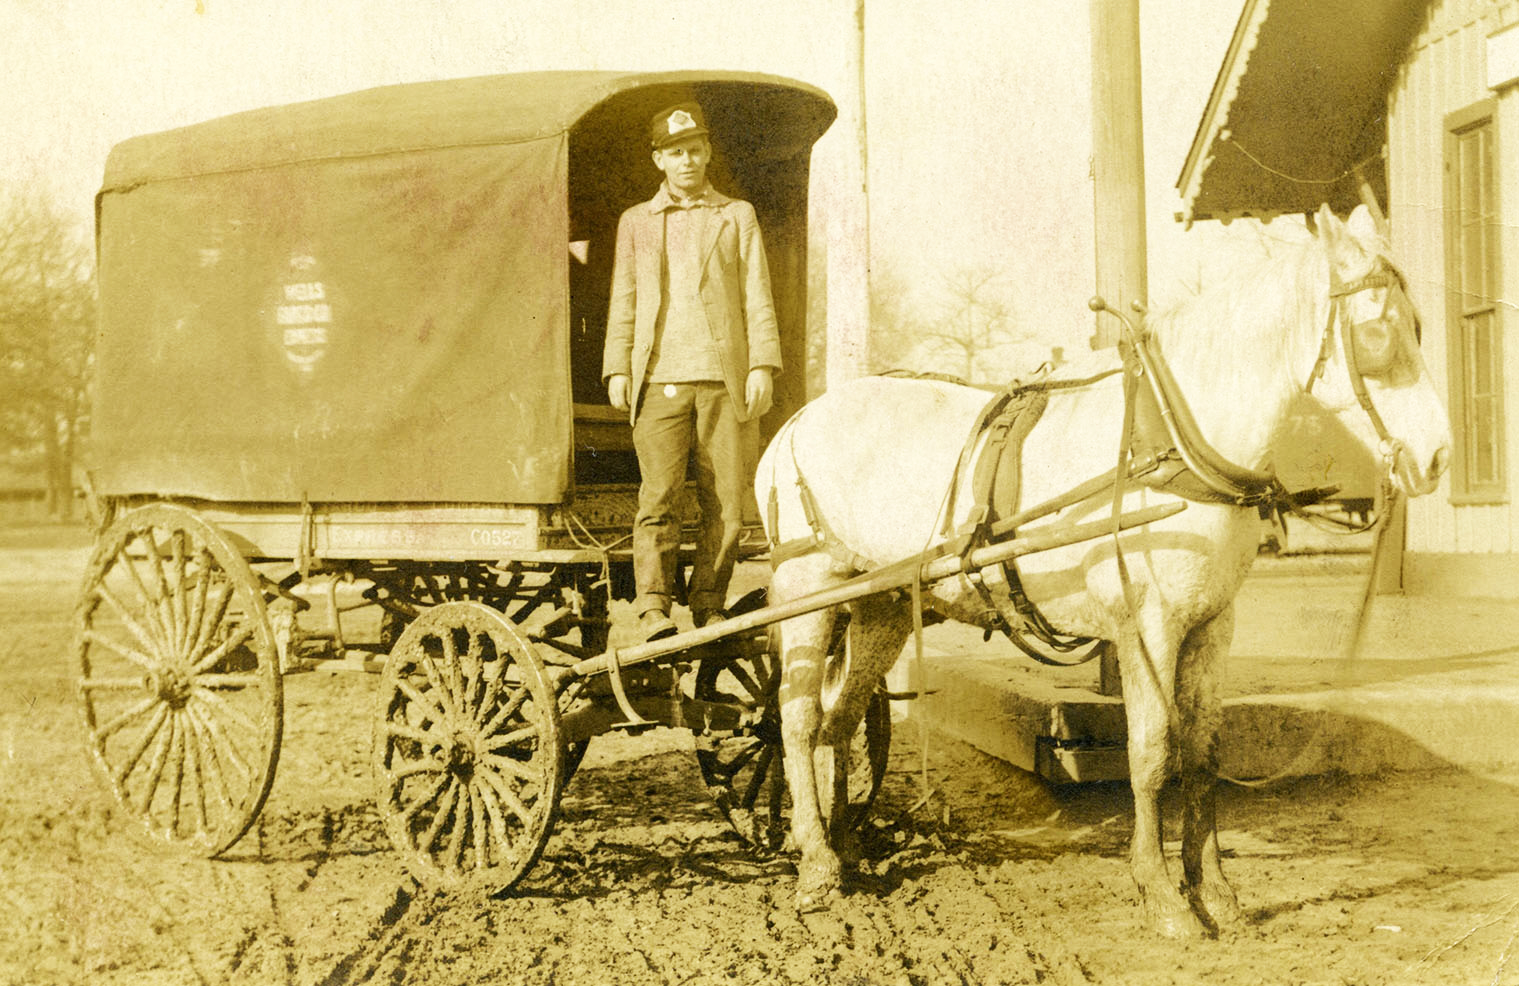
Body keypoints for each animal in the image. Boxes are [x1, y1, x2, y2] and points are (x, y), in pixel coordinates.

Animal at [755, 204, 1451, 938]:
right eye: (1375, 333)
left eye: (1418, 326)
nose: (1437, 456)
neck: (1171, 444)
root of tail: (796, 422)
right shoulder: (1149, 628)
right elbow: (1149, 755)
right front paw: (1163, 896)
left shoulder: (1212, 626)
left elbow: (1203, 753)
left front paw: (1215, 892)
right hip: (806, 592)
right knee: (795, 722)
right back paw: (815, 868)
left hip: (881, 606)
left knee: (838, 720)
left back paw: (842, 846)